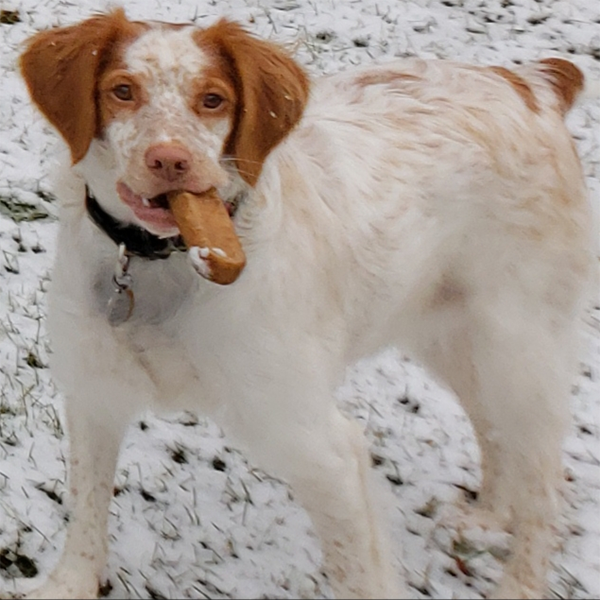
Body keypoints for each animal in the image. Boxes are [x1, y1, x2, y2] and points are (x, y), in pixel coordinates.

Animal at [18, 9, 596, 600]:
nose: (171, 161)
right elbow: (86, 511)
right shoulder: (94, 391)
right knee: (494, 427)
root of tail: (532, 83)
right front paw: (68, 585)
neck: (164, 262)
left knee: (544, 480)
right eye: (123, 91)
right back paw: (489, 517)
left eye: (213, 99)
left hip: (520, 346)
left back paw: (520, 582)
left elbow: (359, 576)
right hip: (450, 332)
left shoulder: (321, 447)